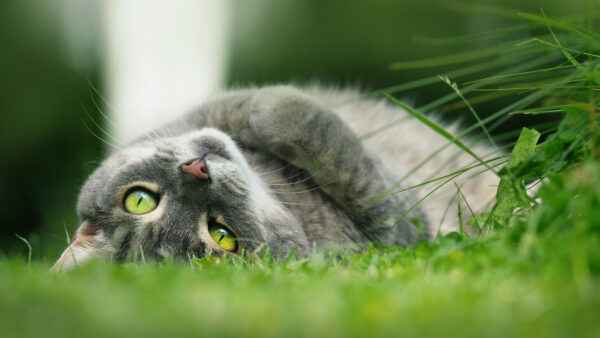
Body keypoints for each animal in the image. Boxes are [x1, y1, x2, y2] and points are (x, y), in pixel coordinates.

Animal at [54, 86, 500, 270]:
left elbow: (237, 106)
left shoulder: (204, 113)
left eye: (139, 199)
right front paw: (273, 108)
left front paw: (253, 111)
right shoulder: (399, 225)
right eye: (222, 236)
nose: (197, 170)